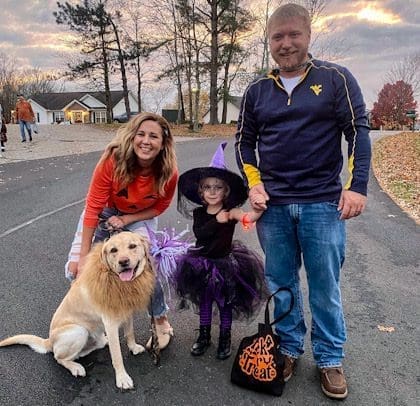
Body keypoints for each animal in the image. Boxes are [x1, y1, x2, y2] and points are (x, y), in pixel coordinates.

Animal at [0, 232, 156, 390]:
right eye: (113, 250)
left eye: (132, 246)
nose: (123, 262)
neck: (114, 279)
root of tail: (48, 341)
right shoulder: (110, 323)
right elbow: (117, 355)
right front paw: (122, 378)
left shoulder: (127, 313)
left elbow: (130, 333)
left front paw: (133, 347)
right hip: (78, 331)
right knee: (58, 357)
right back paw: (76, 367)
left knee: (89, 348)